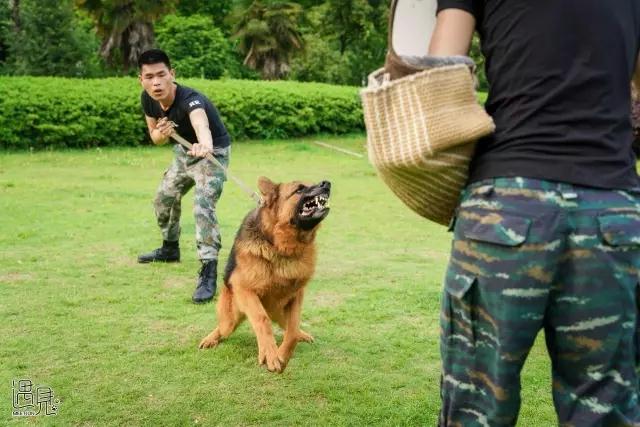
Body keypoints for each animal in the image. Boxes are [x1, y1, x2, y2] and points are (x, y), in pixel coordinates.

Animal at [199, 176, 330, 372]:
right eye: (299, 189)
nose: (327, 183)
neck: (280, 246)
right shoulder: (245, 290)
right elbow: (262, 320)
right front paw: (270, 353)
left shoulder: (296, 295)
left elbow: (292, 329)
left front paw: (282, 354)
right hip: (231, 317)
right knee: (223, 328)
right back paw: (211, 338)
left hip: (279, 312)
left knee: (288, 326)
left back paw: (302, 334)